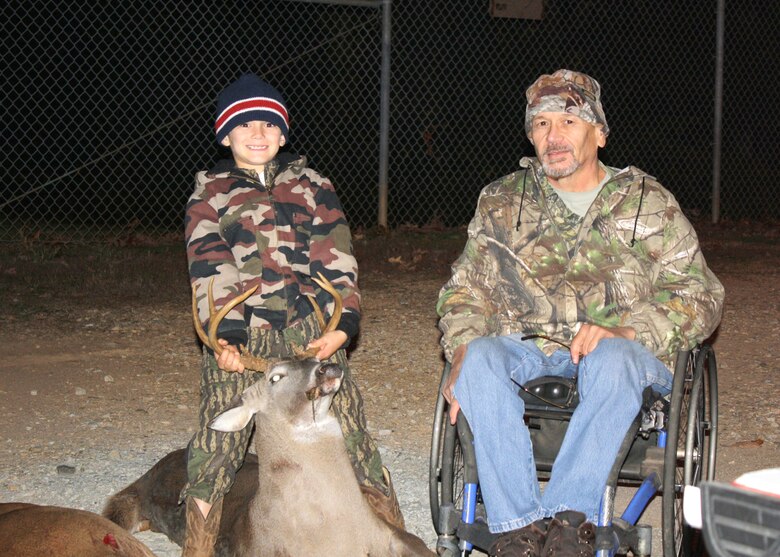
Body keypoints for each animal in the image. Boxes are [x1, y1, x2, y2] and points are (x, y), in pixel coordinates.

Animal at [102, 274, 438, 556]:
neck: (333, 524)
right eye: (276, 377)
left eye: (317, 358)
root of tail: (146, 475)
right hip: (129, 503)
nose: (329, 368)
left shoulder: (388, 533)